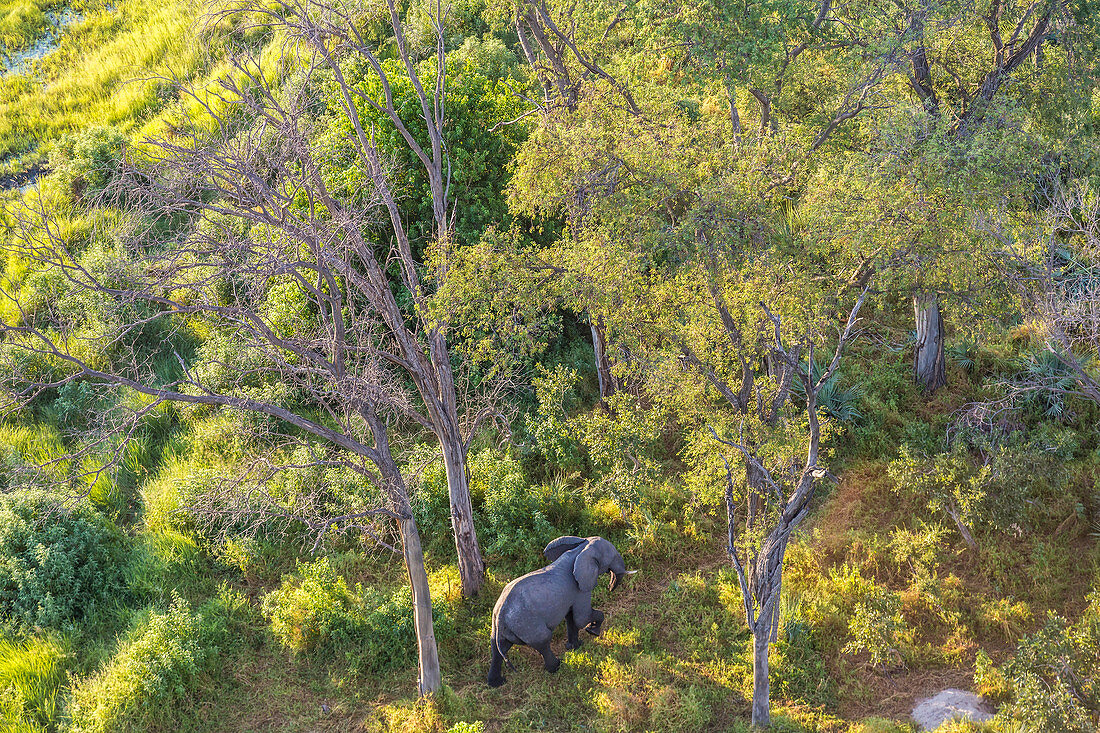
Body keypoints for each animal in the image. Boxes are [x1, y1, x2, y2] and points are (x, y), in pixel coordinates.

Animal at [484, 537, 633, 686]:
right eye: (613, 556)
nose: (609, 587)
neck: (581, 549)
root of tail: (500, 615)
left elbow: (571, 619)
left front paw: (575, 647)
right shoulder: (580, 589)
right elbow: (581, 618)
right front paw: (592, 632)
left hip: (503, 627)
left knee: (497, 647)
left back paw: (497, 683)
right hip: (526, 624)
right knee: (543, 640)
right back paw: (557, 666)